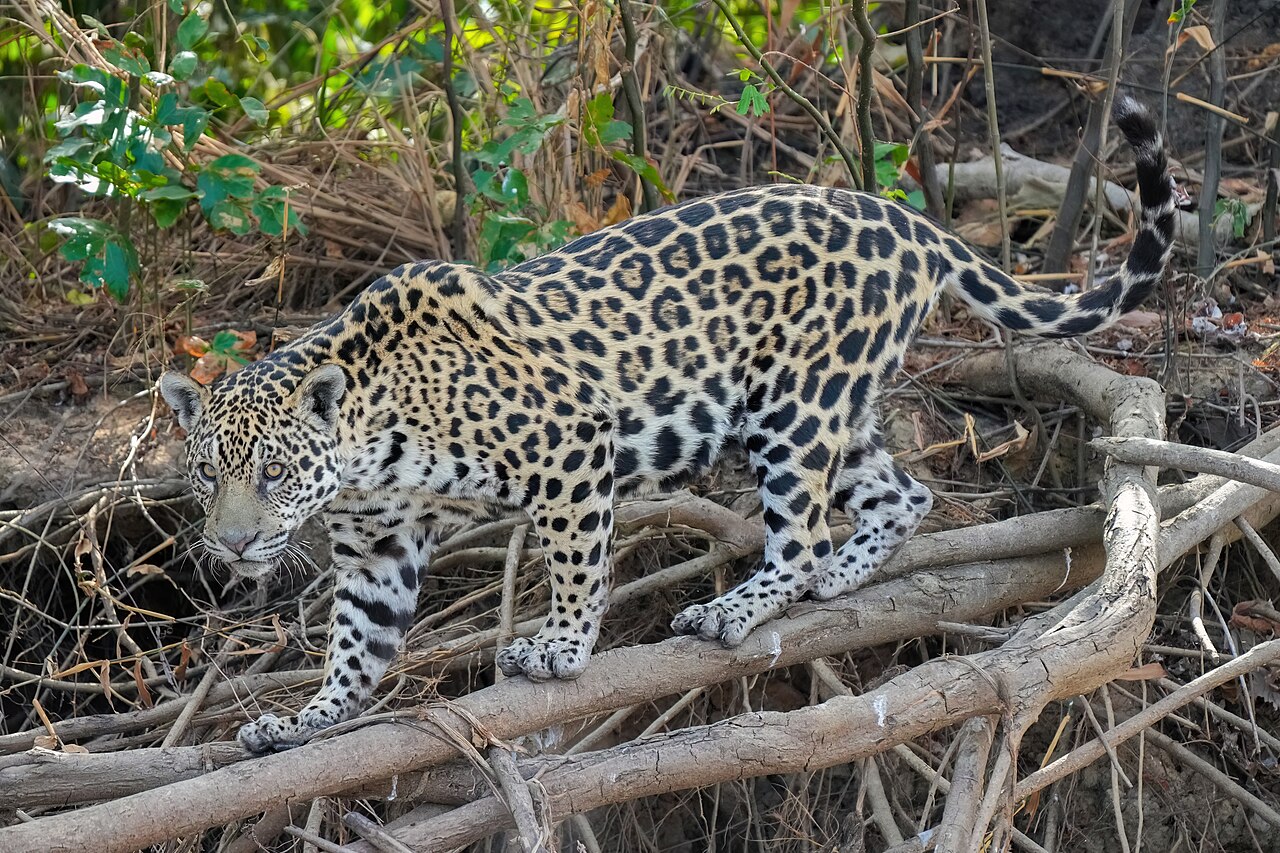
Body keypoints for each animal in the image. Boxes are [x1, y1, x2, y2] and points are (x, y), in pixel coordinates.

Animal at [159, 95, 1175, 753]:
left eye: (275, 471)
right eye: (210, 473)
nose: (234, 545)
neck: (374, 443)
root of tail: (902, 218)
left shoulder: (571, 445)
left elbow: (577, 564)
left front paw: (561, 649)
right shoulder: (375, 545)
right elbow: (356, 641)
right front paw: (308, 718)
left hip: (792, 406)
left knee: (801, 529)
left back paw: (739, 605)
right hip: (828, 407)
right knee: (902, 494)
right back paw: (837, 579)